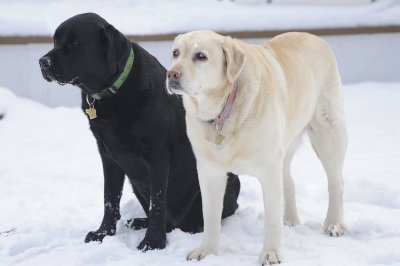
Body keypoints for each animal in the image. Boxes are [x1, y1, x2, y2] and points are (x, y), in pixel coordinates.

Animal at [38, 11, 241, 249]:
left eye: (75, 43)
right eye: (55, 41)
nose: (42, 62)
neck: (112, 91)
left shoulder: (157, 156)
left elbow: (158, 203)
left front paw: (153, 242)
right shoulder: (108, 155)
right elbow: (110, 198)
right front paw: (103, 233)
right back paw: (138, 221)